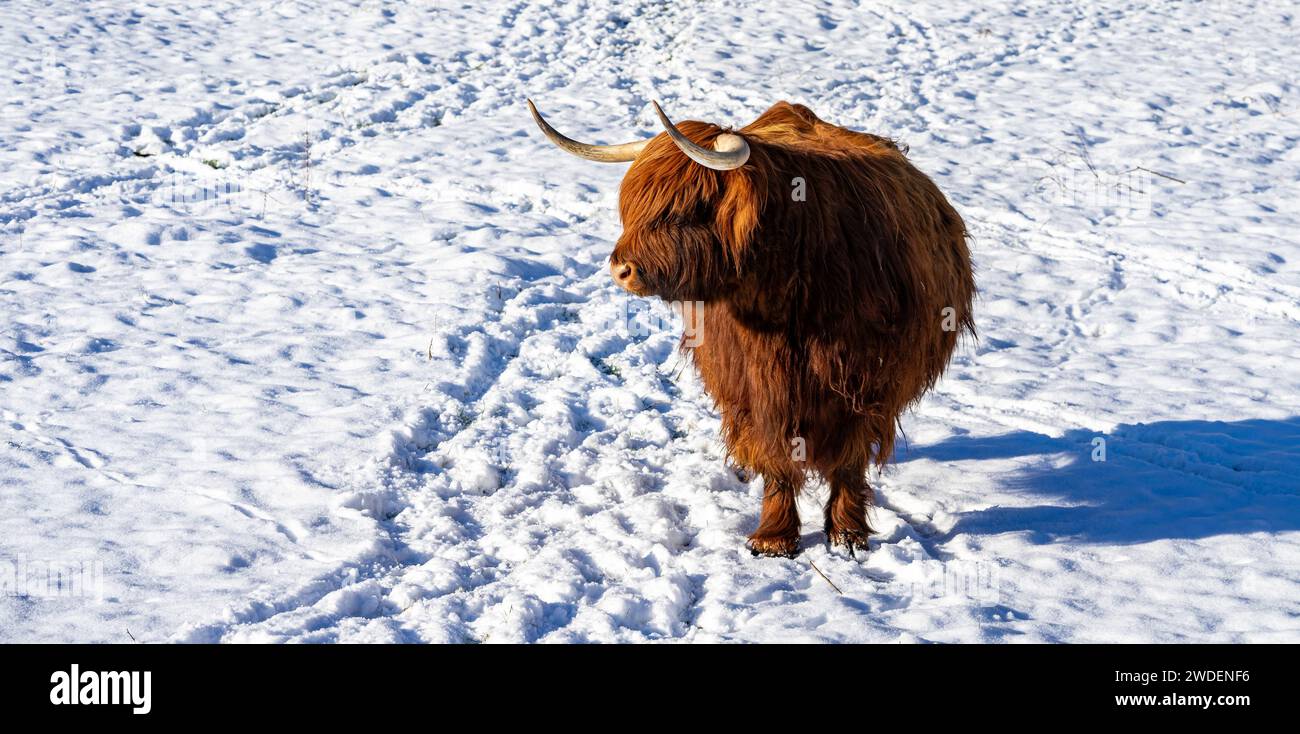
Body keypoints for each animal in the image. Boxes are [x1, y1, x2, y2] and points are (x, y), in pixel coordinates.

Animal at [528, 99, 975, 557]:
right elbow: (773, 452)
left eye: (689, 207)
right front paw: (774, 537)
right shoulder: (754, 383)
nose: (621, 269)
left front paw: (848, 533)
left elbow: (849, 459)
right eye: (633, 205)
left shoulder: (866, 381)